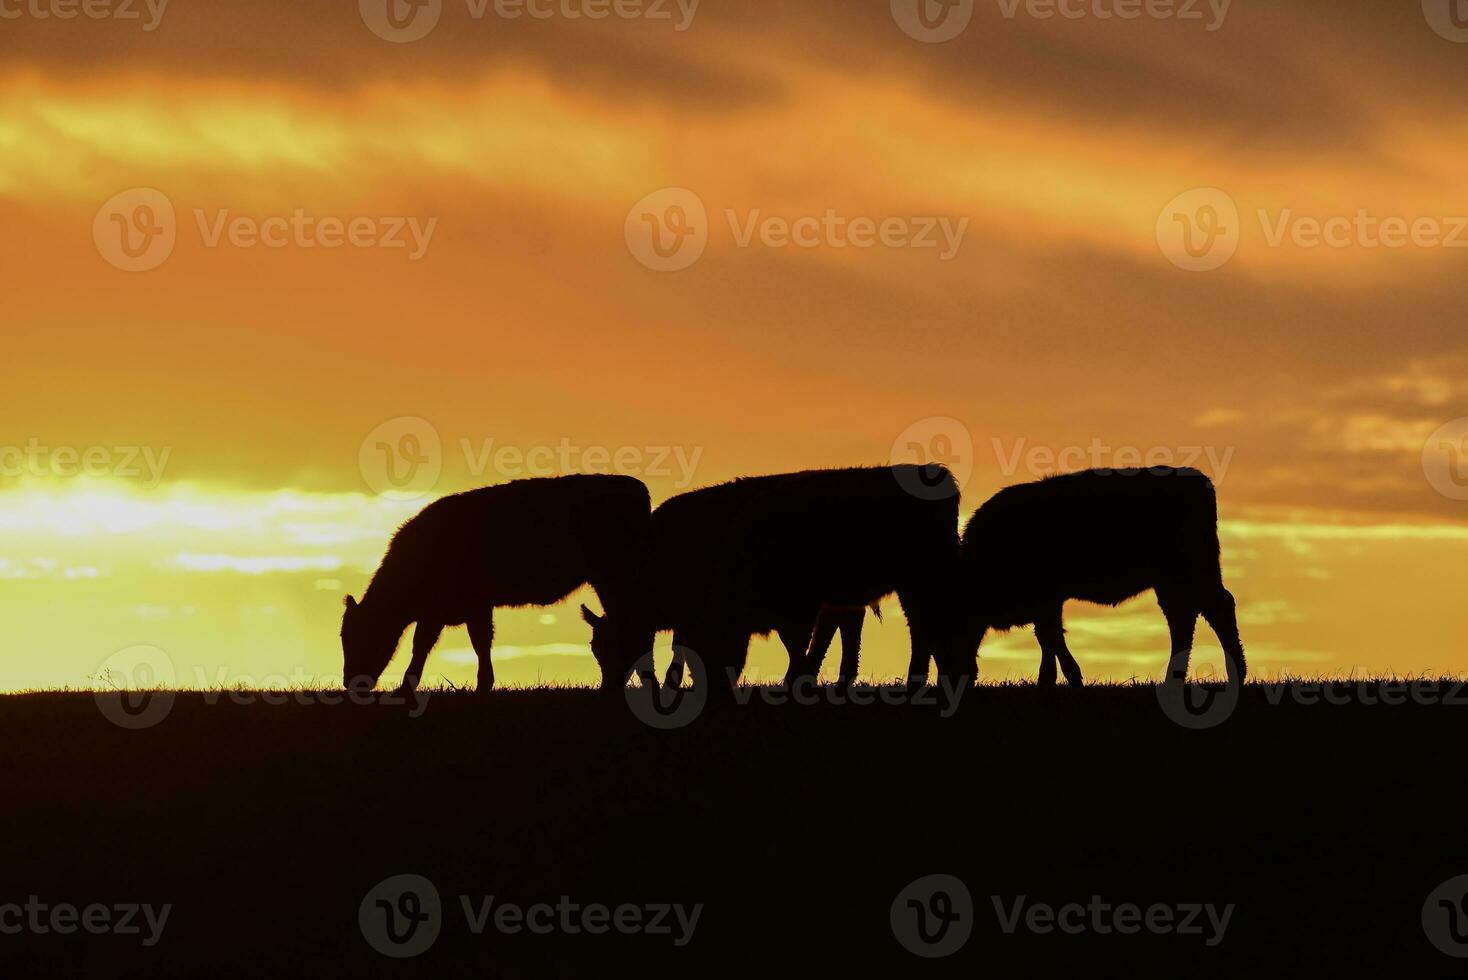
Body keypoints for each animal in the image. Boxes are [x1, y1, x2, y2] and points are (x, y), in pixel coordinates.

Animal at [343, 475, 648, 695]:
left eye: (358, 636)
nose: (350, 683)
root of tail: (634, 485)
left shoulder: (467, 607)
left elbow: (466, 642)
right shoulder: (447, 612)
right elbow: (437, 644)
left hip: (613, 577)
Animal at [578, 466, 968, 695]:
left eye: (616, 644)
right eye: (595, 649)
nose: (608, 690)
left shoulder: (791, 606)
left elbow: (794, 642)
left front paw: (796, 680)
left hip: (919, 578)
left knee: (920, 626)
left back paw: (916, 680)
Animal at [957, 469, 1244, 686]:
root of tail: (1197, 479)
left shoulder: (1047, 599)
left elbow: (1051, 636)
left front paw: (1061, 679)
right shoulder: (1048, 603)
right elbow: (1048, 637)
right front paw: (1056, 679)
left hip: (1189, 573)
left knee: (1213, 609)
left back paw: (1235, 675)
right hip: (1173, 581)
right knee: (1186, 617)